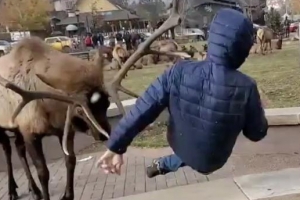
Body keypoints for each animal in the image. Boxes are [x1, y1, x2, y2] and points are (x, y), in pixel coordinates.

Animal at [0, 36, 110, 199]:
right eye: (80, 110)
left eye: (107, 103)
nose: (104, 134)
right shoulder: (30, 133)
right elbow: (42, 172)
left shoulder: (64, 130)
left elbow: (71, 161)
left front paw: (68, 195)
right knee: (7, 149)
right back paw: (12, 190)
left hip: (16, 128)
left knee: (19, 149)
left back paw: (33, 189)